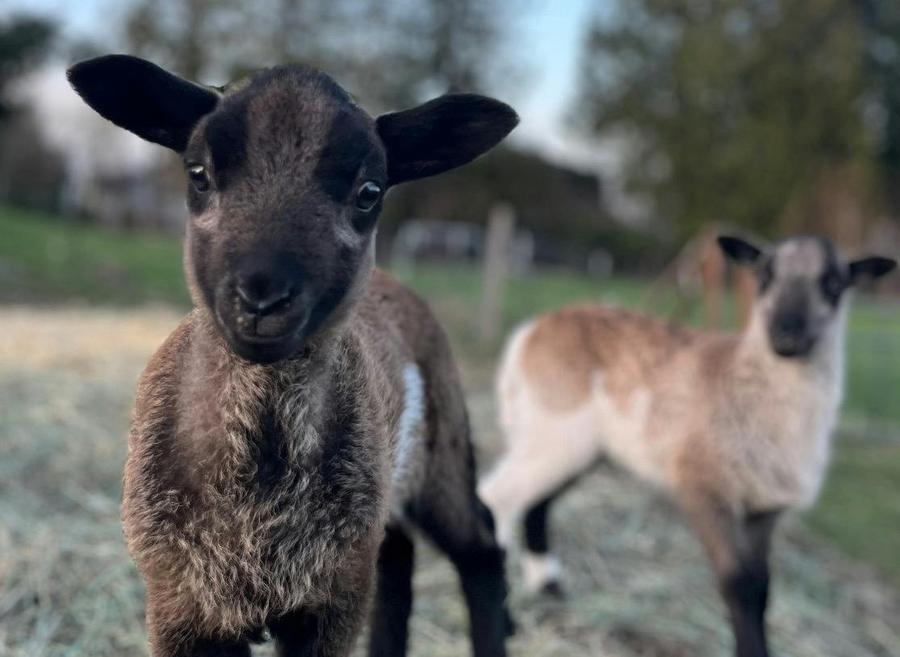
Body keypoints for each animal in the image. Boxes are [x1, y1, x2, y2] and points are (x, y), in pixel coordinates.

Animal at [67, 54, 518, 657]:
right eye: (198, 173)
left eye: (369, 191)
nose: (262, 296)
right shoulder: (179, 602)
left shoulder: (330, 602)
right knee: (399, 558)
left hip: (438, 451)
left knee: (479, 550)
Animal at [478, 234, 896, 657]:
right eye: (764, 278)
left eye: (833, 285)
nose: (786, 337)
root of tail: (531, 330)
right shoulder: (705, 485)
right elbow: (738, 583)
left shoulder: (763, 509)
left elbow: (762, 588)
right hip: (555, 424)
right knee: (497, 498)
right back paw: (505, 620)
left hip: (573, 442)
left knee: (537, 502)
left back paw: (548, 586)